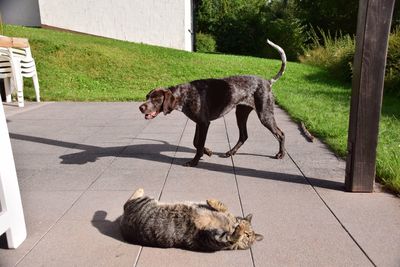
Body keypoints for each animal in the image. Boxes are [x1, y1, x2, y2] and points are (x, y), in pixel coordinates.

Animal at [119, 188, 262, 253]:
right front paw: (213, 202)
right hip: (145, 201)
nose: (240, 226)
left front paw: (240, 230)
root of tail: (124, 220)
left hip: (142, 203)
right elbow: (223, 207)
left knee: (127, 202)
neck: (229, 225)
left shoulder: (216, 239)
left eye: (249, 236)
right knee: (127, 201)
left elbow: (232, 237)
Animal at [139, 39, 286, 168]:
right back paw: (231, 152)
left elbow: (198, 145)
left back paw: (281, 154)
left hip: (265, 115)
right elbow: (196, 142)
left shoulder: (204, 123)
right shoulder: (199, 123)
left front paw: (194, 162)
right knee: (243, 135)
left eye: (156, 99)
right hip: (241, 114)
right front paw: (207, 151)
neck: (184, 94)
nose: (140, 107)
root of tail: (268, 82)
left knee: (281, 134)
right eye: (147, 97)